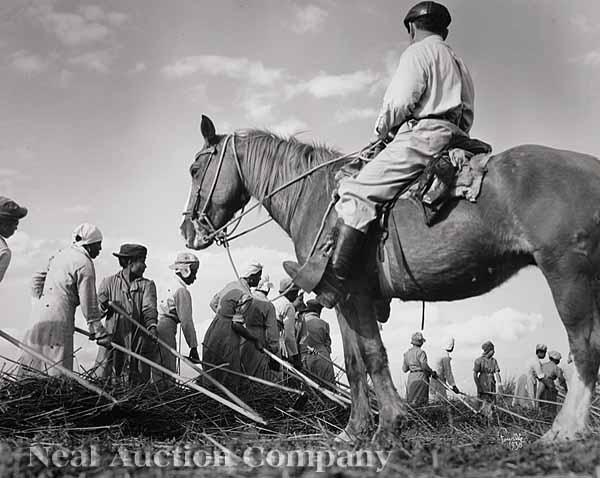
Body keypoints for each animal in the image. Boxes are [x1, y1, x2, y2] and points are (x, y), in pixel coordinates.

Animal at [180, 115, 600, 444]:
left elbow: (372, 356)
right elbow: (354, 362)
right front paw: (355, 430)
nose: (187, 230)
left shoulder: (354, 295)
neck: (314, 198)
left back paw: (564, 430)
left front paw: (389, 425)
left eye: (195, 170)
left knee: (584, 348)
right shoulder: (344, 301)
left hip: (567, 272)